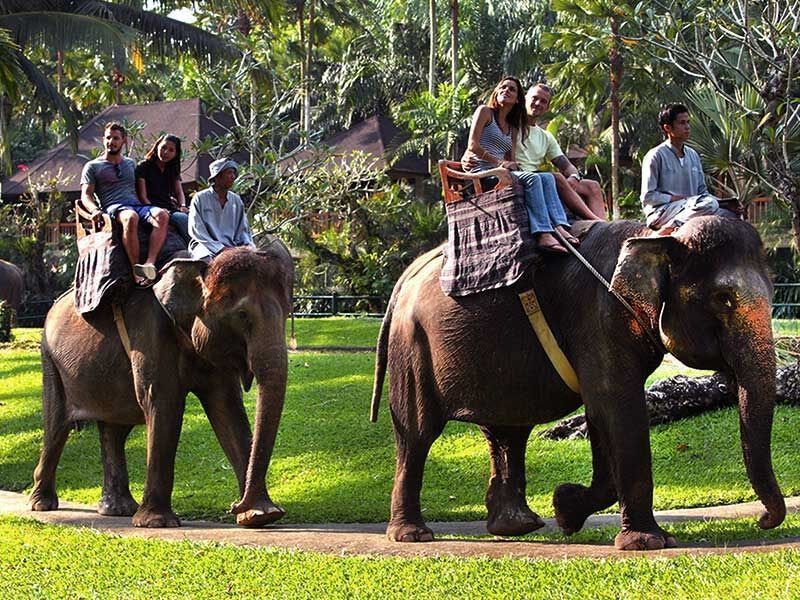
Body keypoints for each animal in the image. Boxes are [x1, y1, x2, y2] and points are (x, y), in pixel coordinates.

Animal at [30, 242, 293, 528]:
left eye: (287, 312)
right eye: (242, 315)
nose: (234, 505)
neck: (199, 268)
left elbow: (227, 409)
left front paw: (261, 515)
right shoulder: (151, 333)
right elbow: (164, 404)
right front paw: (156, 523)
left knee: (114, 429)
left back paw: (118, 509)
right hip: (50, 360)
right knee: (57, 425)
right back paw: (42, 504)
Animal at [370, 216, 785, 550]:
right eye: (724, 299)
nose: (762, 520)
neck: (656, 237)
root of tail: (406, 275)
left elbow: (601, 415)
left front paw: (565, 509)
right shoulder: (599, 319)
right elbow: (618, 410)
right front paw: (647, 543)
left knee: (507, 431)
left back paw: (517, 527)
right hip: (412, 347)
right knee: (417, 434)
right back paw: (413, 535)